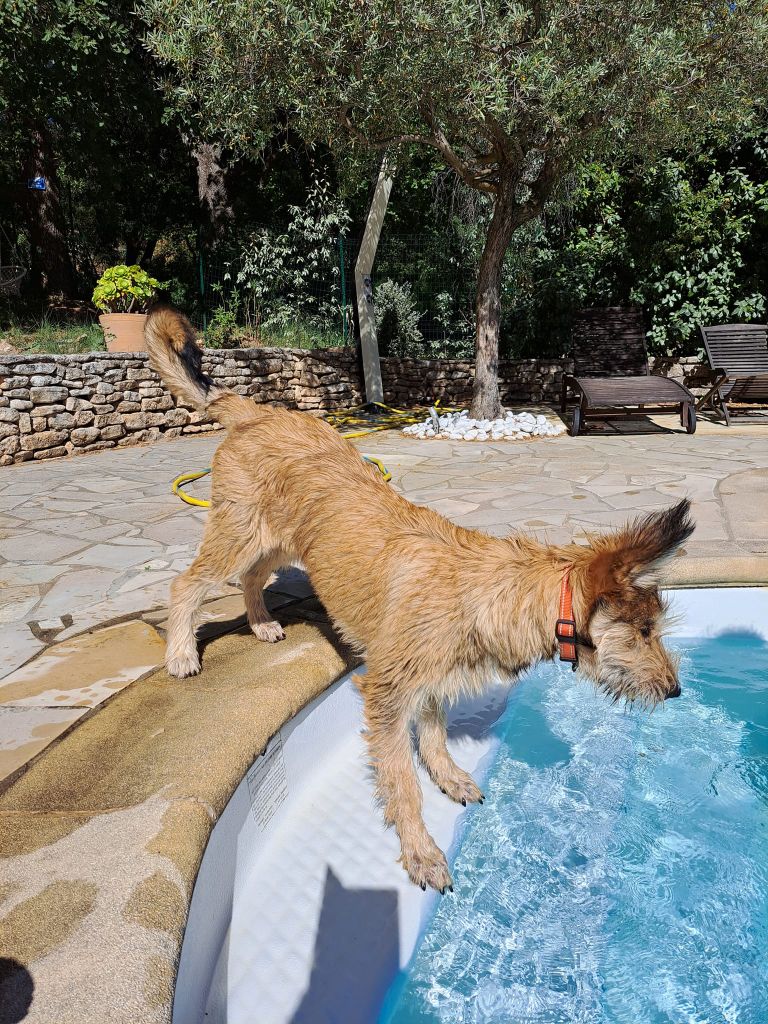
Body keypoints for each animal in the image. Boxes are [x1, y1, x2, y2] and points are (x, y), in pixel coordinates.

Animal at [144, 303, 696, 888]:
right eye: (643, 632)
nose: (676, 690)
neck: (489, 596)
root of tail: (255, 411)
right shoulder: (387, 697)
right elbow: (402, 782)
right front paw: (419, 849)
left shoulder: (431, 686)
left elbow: (432, 738)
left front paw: (448, 777)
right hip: (239, 533)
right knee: (188, 583)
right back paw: (181, 652)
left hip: (277, 540)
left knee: (251, 579)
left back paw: (262, 622)